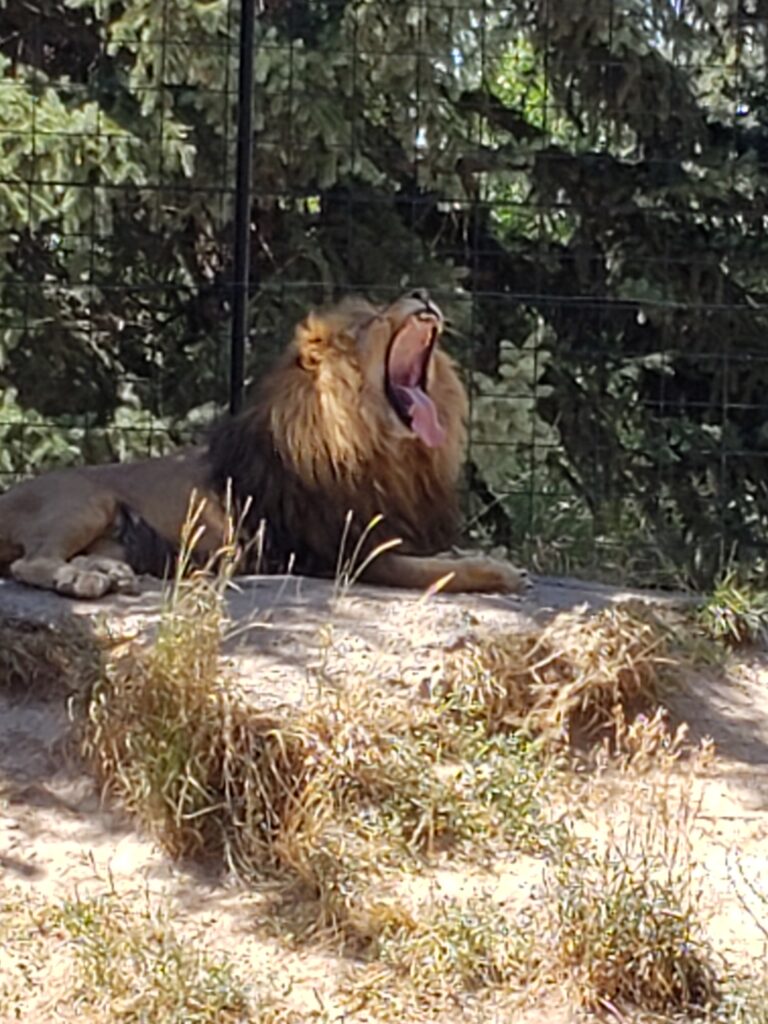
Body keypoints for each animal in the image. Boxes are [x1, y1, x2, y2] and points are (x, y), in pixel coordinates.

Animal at [0, 290, 528, 598]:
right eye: (376, 321)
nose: (420, 292)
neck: (389, 453)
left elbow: (442, 557)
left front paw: (476, 556)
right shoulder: (345, 555)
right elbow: (437, 573)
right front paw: (496, 570)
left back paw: (110, 574)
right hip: (86, 500)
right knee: (31, 562)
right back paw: (81, 580)